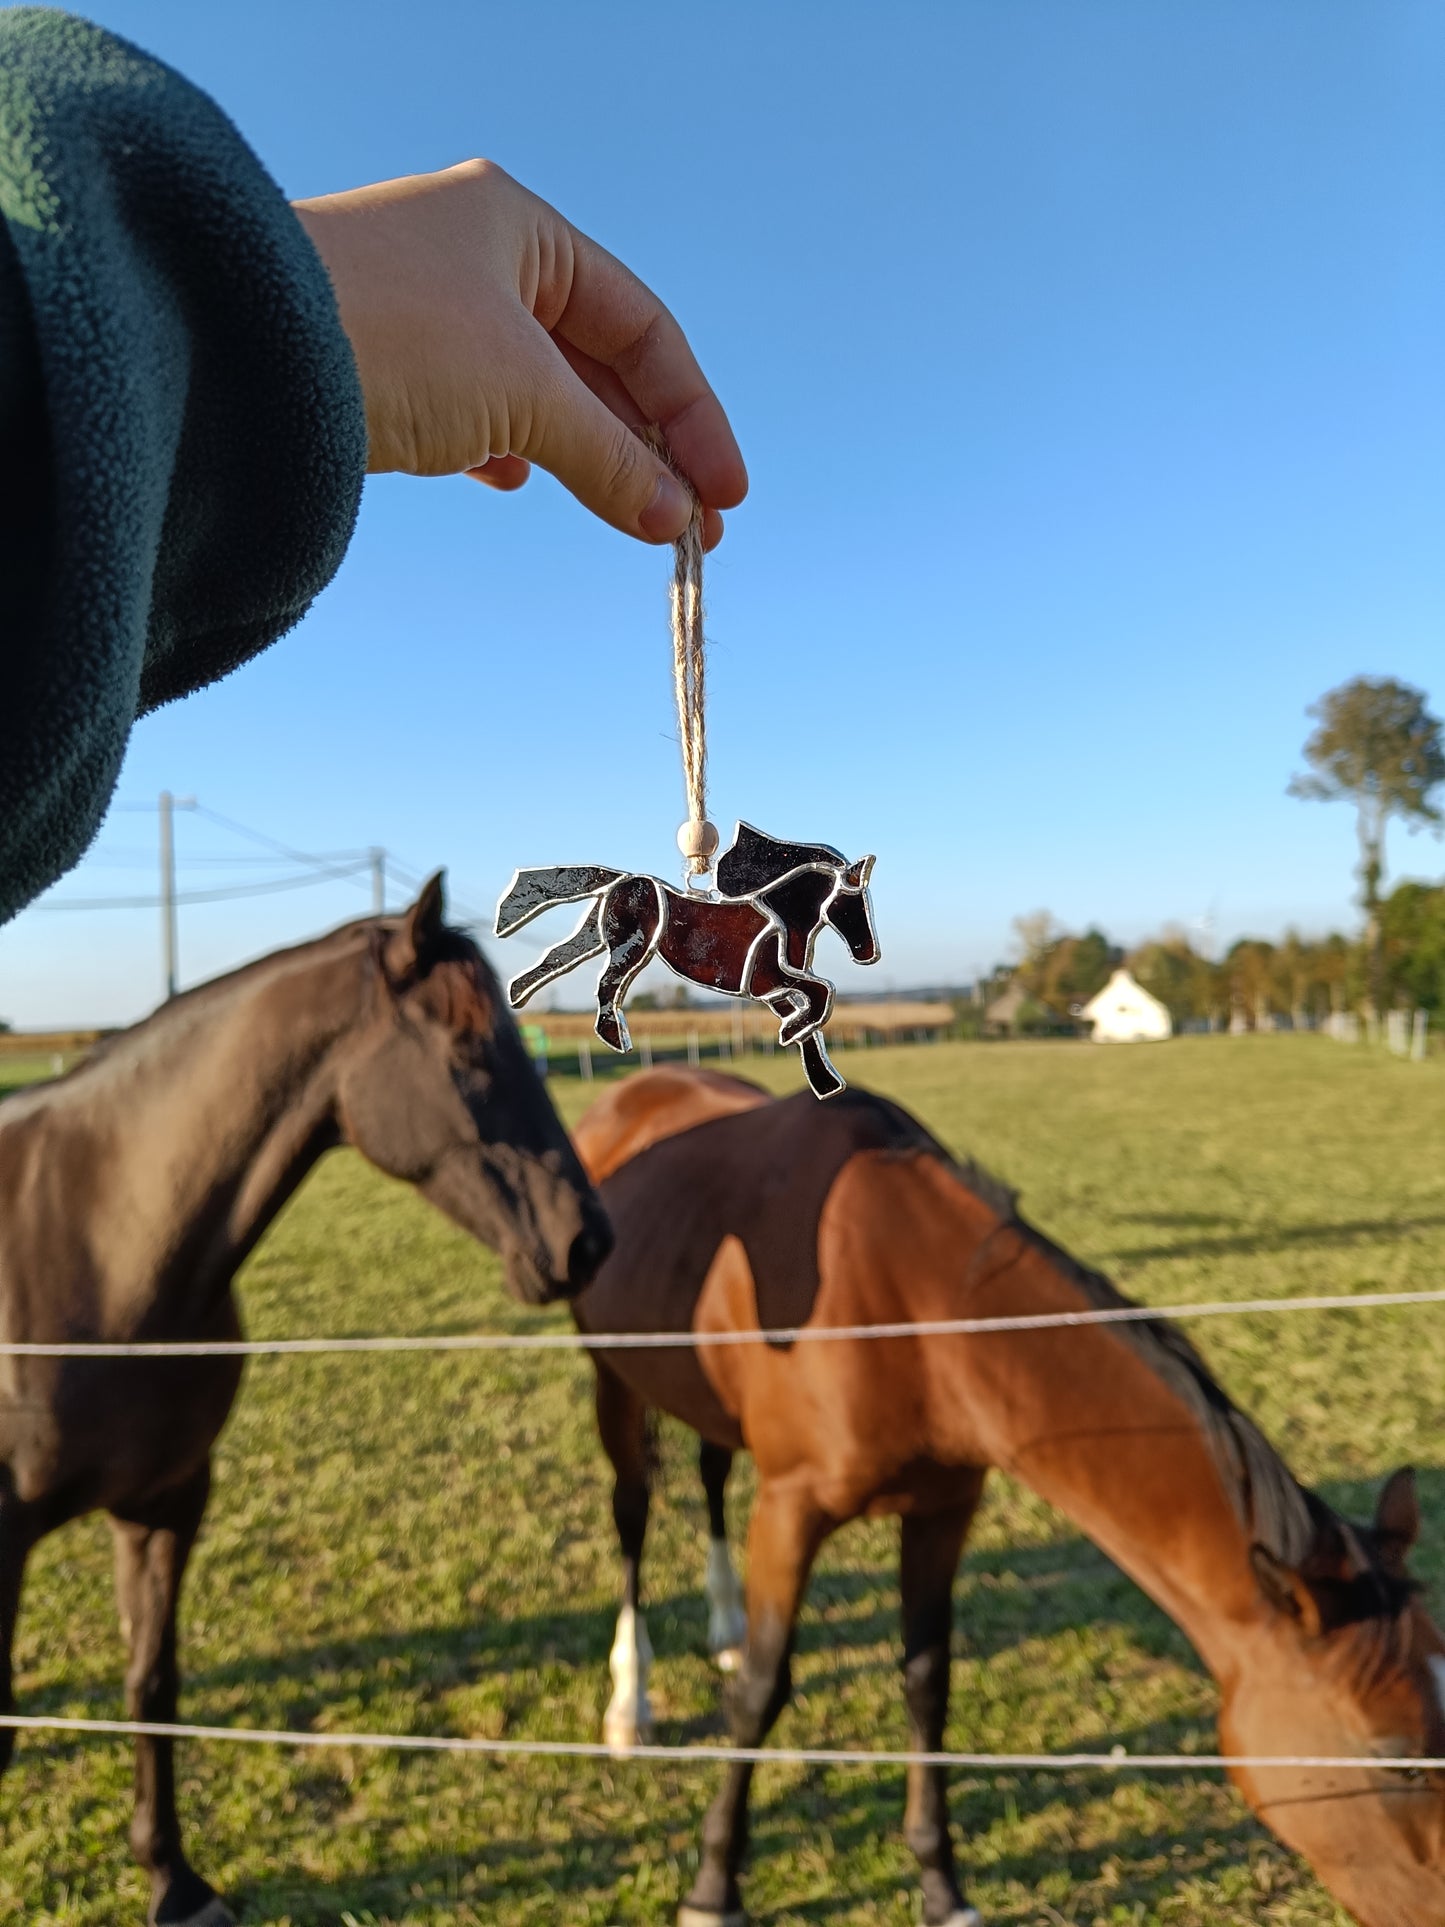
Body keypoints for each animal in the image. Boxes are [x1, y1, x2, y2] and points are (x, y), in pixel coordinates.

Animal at [0, 875, 611, 1927]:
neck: (98, 1245)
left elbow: (152, 1680)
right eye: (467, 1052)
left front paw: (171, 1877)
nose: (588, 1241)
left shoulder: (166, 1504)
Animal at [495, 822, 880, 1099]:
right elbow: (820, 994)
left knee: (559, 956)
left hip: (595, 933)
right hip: (630, 946)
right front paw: (792, 1036)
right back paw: (615, 1038)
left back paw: (517, 993)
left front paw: (823, 1080)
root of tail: (624, 878)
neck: (784, 918)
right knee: (606, 984)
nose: (867, 952)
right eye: (851, 902)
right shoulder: (765, 981)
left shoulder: (768, 992)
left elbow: (811, 1020)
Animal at [569, 1067, 1445, 1927]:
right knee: (632, 1511)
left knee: (712, 1472)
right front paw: (713, 1888)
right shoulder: (792, 1508)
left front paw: (941, 1888)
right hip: (613, 1377)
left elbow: (927, 1684)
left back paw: (722, 1622)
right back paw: (629, 1701)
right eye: (1396, 1761)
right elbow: (759, 1691)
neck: (905, 1306)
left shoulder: (942, 1509)